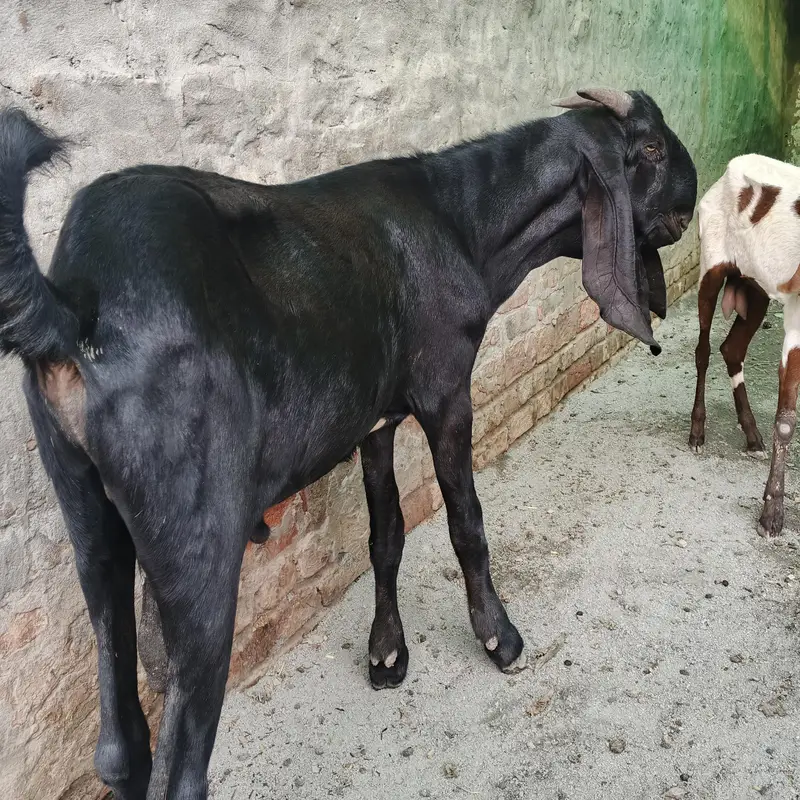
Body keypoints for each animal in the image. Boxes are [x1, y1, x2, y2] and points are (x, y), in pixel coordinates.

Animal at [0, 89, 696, 799]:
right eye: (648, 148)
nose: (690, 198)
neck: (459, 221)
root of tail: (78, 308)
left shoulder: (376, 423)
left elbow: (385, 534)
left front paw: (387, 653)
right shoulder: (446, 390)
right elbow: (466, 522)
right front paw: (498, 638)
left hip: (88, 516)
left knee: (117, 738)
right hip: (196, 544)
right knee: (184, 761)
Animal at [690, 153, 800, 538]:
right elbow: (786, 419)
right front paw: (772, 513)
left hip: (756, 287)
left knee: (732, 349)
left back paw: (752, 435)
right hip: (712, 266)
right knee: (704, 350)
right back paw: (697, 431)